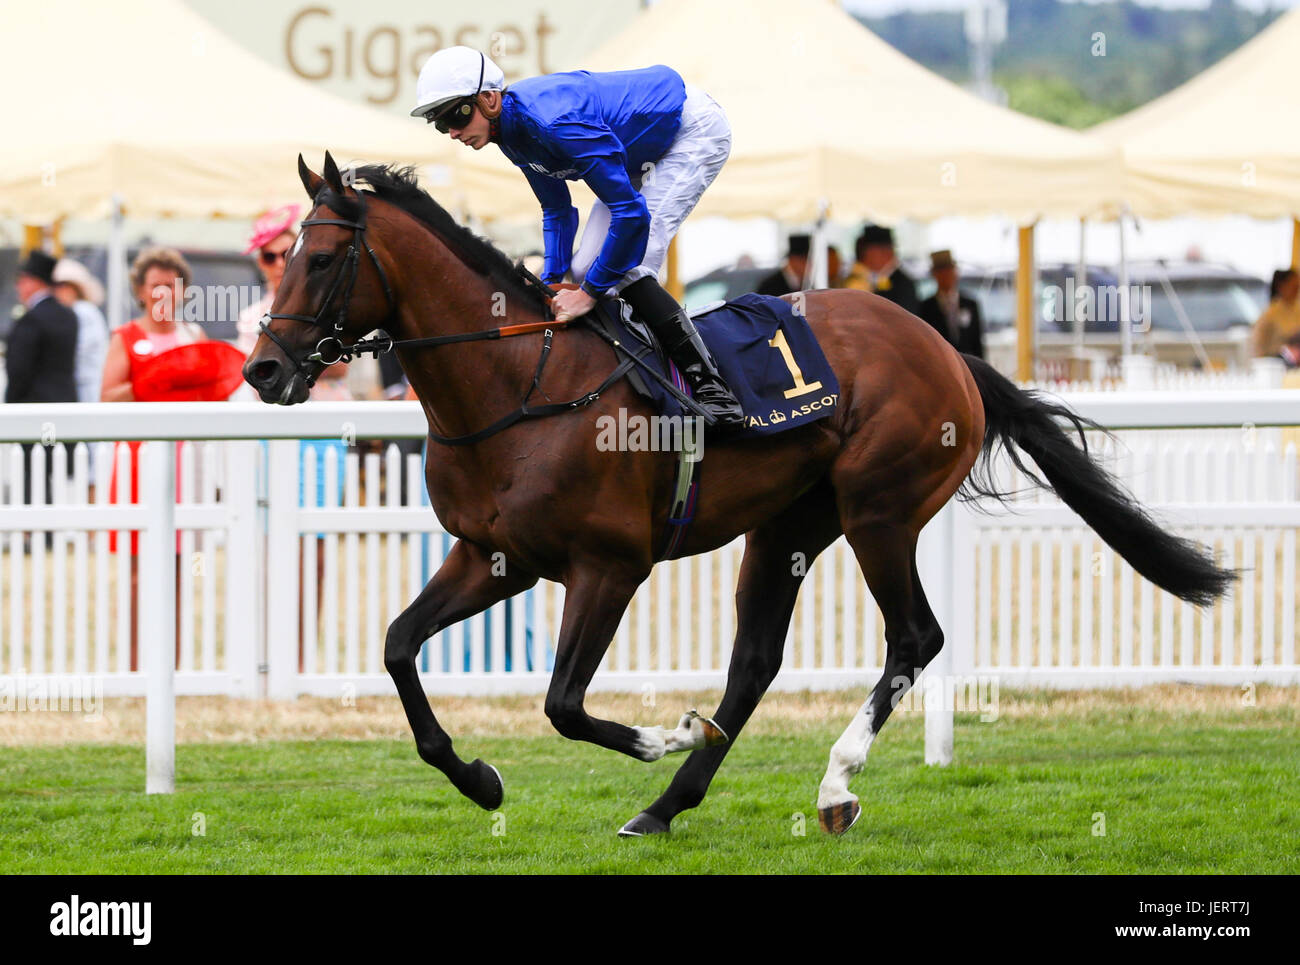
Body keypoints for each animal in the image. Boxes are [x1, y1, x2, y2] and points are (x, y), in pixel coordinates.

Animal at [241, 156, 1227, 837]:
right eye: (280, 259)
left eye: (320, 257)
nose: (263, 370)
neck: (521, 382)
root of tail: (947, 347)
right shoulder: (496, 557)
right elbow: (399, 643)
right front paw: (479, 777)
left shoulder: (610, 566)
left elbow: (562, 702)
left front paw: (662, 734)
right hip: (787, 526)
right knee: (755, 661)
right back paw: (666, 804)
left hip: (879, 511)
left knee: (915, 635)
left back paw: (830, 783)